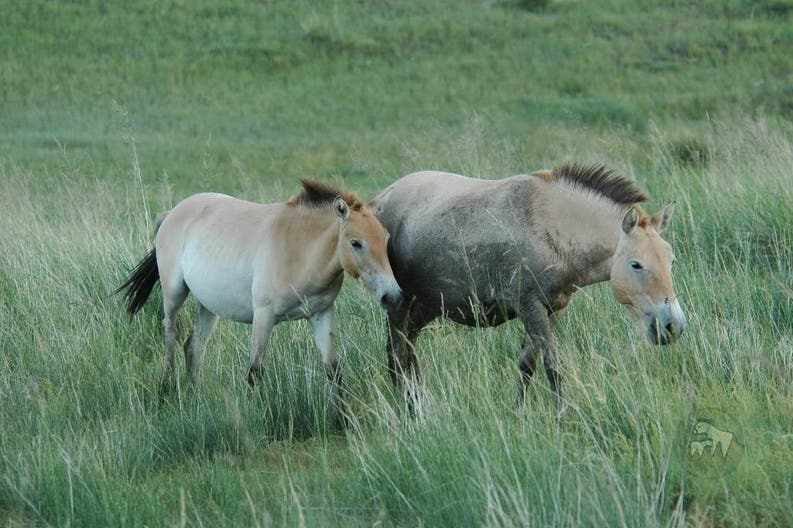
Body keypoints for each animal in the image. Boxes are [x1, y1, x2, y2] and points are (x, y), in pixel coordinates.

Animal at [116, 179, 402, 408]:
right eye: (356, 243)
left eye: (386, 238)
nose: (393, 296)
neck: (299, 249)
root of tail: (172, 213)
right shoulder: (263, 316)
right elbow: (255, 371)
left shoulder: (321, 314)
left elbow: (333, 369)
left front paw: (340, 416)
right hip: (174, 294)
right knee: (170, 337)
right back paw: (165, 390)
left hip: (208, 306)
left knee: (193, 347)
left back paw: (193, 398)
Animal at [369, 163, 686, 409]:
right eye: (636, 264)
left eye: (671, 259)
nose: (673, 326)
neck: (553, 228)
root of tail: (380, 200)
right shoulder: (530, 307)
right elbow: (552, 365)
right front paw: (562, 417)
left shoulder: (553, 310)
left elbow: (527, 364)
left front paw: (517, 411)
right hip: (401, 305)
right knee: (397, 353)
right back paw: (408, 408)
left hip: (425, 307)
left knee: (407, 350)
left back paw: (417, 400)